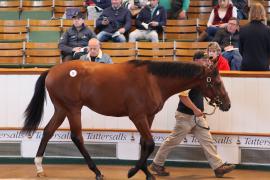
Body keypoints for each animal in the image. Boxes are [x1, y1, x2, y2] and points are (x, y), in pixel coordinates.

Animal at [22, 58, 231, 179]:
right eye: (217, 82)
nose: (227, 105)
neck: (153, 81)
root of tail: (52, 70)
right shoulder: (137, 116)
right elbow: (150, 143)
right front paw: (133, 171)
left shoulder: (148, 116)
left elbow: (144, 143)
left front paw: (146, 172)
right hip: (73, 109)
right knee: (76, 137)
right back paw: (97, 171)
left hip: (62, 109)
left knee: (48, 131)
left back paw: (39, 167)